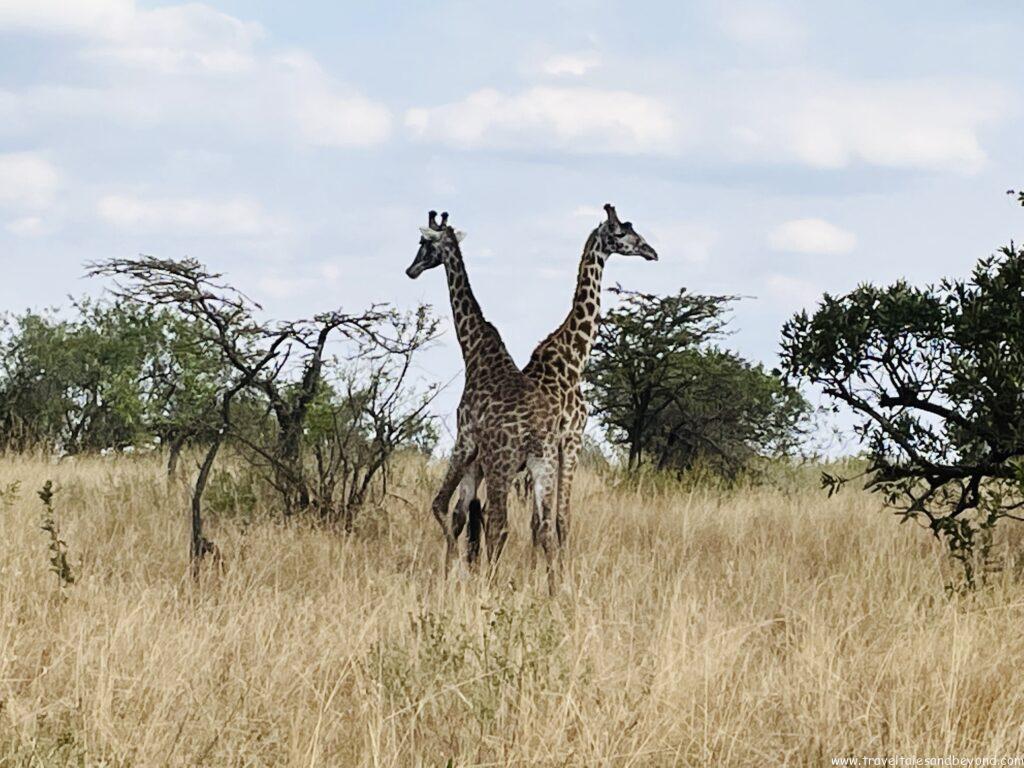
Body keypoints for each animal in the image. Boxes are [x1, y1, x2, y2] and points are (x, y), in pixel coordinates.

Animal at [406, 211, 563, 591]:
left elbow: (440, 506)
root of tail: (534, 432)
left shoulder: (465, 439)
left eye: (423, 243)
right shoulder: (476, 456)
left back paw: (491, 585)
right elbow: (460, 514)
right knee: (545, 529)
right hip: (544, 465)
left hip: (502, 464)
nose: (410, 270)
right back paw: (555, 591)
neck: (475, 351)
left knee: (499, 523)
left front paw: (452, 572)